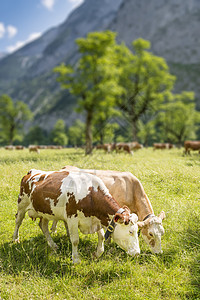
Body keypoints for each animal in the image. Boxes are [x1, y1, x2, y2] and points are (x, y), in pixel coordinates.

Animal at [13, 168, 141, 264]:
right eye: (130, 232)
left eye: (137, 231)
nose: (137, 253)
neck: (90, 194)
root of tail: (31, 172)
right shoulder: (72, 219)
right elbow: (75, 240)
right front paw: (76, 259)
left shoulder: (95, 221)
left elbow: (101, 236)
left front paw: (97, 253)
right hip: (22, 204)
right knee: (18, 221)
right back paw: (15, 238)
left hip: (46, 211)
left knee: (43, 226)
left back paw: (53, 245)